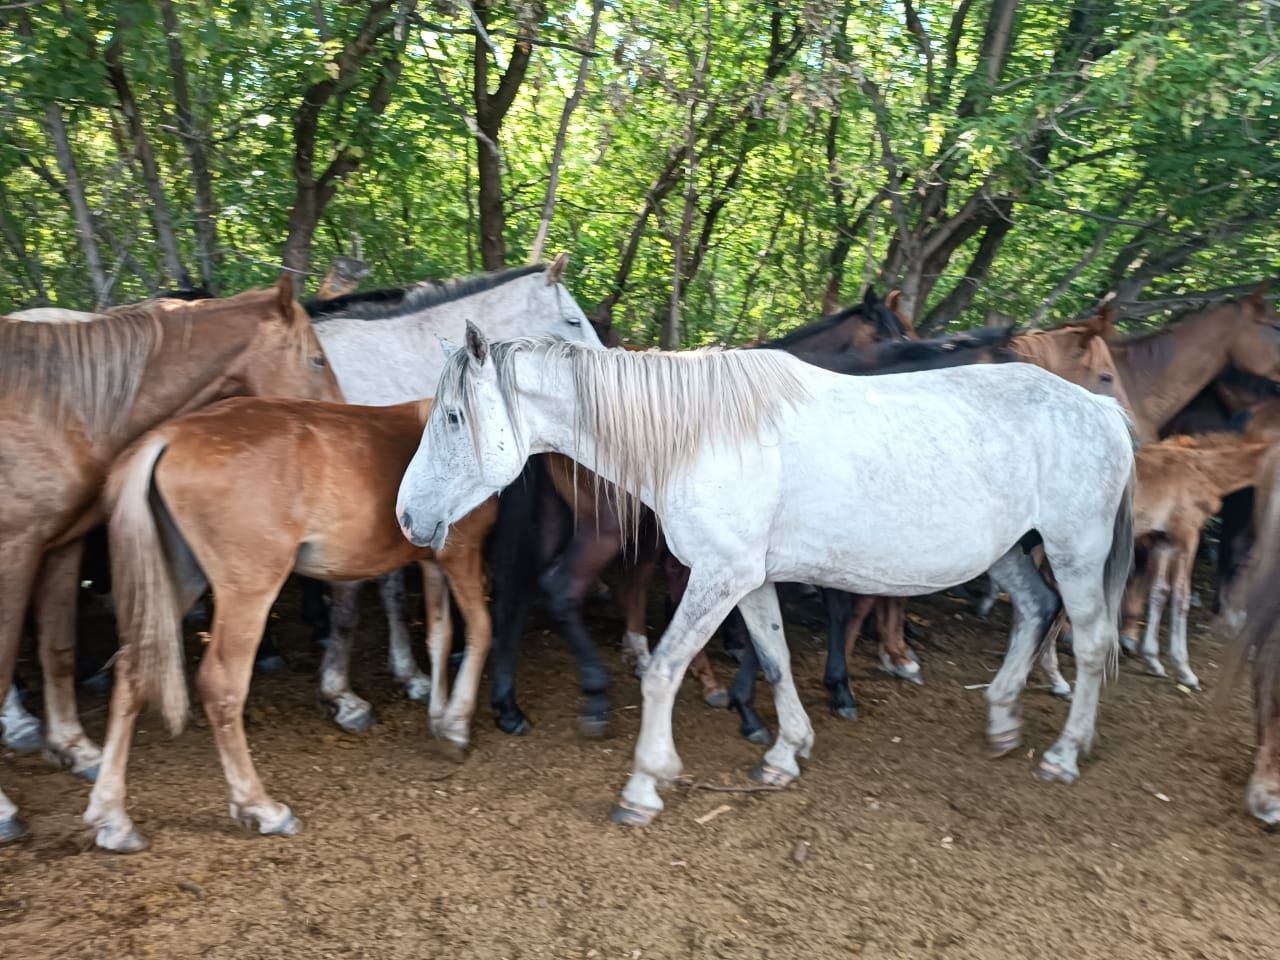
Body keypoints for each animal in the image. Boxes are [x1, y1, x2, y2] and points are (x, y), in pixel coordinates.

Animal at [0, 276, 340, 839]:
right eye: (316, 359)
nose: (345, 414)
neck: (57, 408)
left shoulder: (61, 546)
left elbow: (59, 647)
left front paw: (76, 749)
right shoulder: (16, 551)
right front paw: (5, 806)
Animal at [85, 399, 494, 855]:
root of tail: (167, 436)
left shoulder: (432, 560)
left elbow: (439, 635)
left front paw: (439, 716)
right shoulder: (462, 553)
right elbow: (480, 630)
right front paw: (456, 727)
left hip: (177, 577)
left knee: (132, 670)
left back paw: (113, 819)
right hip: (249, 590)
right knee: (220, 684)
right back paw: (261, 807)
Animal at [394, 330, 1136, 829]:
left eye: (454, 418)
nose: (407, 516)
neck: (697, 436)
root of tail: (1102, 412)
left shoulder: (720, 576)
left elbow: (663, 670)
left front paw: (645, 784)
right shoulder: (748, 580)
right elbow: (775, 659)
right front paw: (785, 752)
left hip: (1073, 547)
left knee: (1091, 641)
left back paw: (1065, 753)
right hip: (1012, 550)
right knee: (1035, 610)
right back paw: (1004, 720)